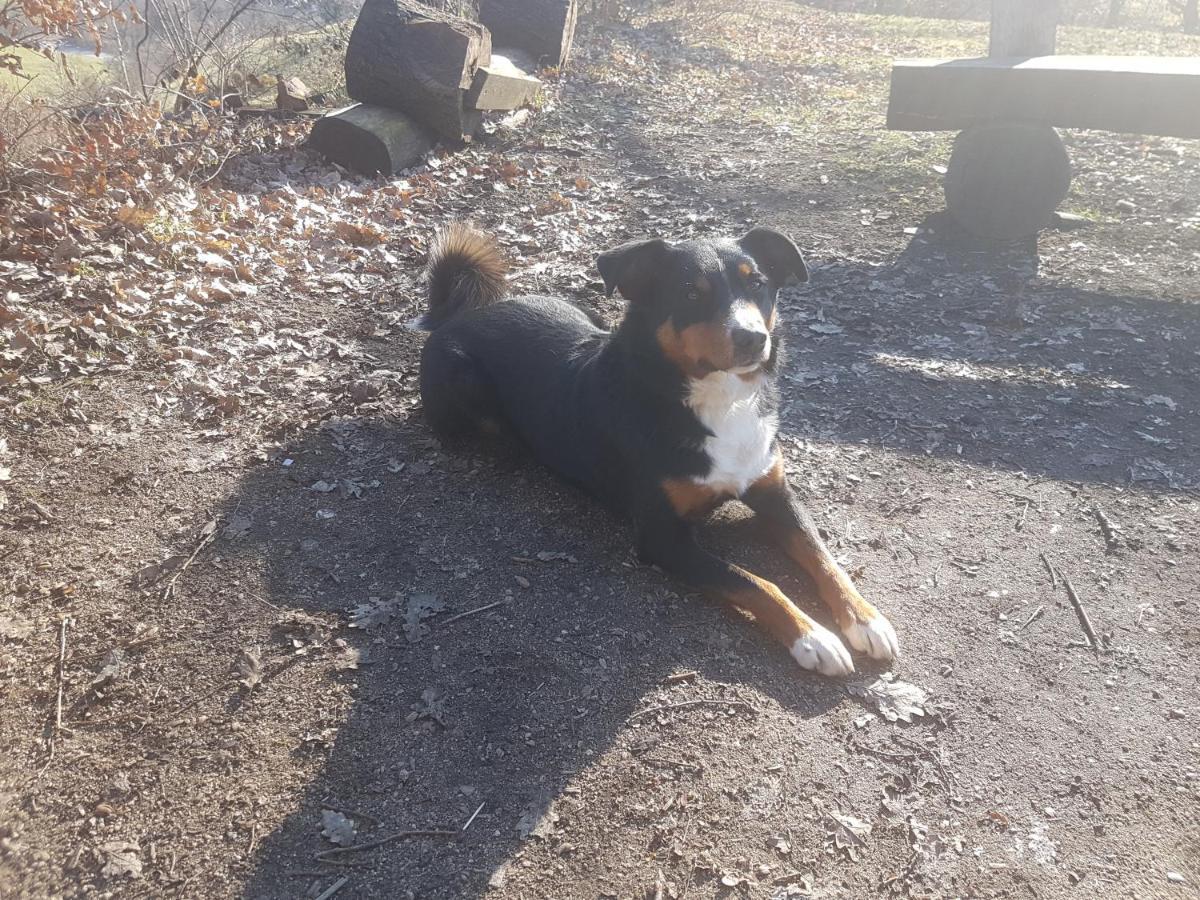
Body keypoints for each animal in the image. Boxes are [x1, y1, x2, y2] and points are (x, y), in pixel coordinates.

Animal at [417, 225, 897, 676]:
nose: (751, 338)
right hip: (466, 384)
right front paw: (812, 636)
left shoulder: (774, 490)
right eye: (690, 293)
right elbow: (754, 581)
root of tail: (457, 317)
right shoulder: (662, 536)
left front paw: (864, 618)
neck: (719, 401)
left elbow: (821, 553)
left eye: (757, 283)